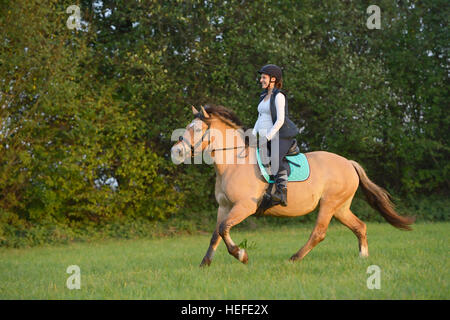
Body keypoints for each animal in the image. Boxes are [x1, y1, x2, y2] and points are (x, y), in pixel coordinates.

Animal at [171, 104, 414, 266]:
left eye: (197, 130)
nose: (177, 152)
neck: (233, 163)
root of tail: (349, 163)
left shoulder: (244, 207)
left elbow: (223, 229)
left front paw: (241, 255)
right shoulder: (224, 207)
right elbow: (216, 233)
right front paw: (205, 263)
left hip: (329, 204)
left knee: (319, 233)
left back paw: (295, 258)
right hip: (341, 207)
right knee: (359, 226)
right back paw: (363, 257)